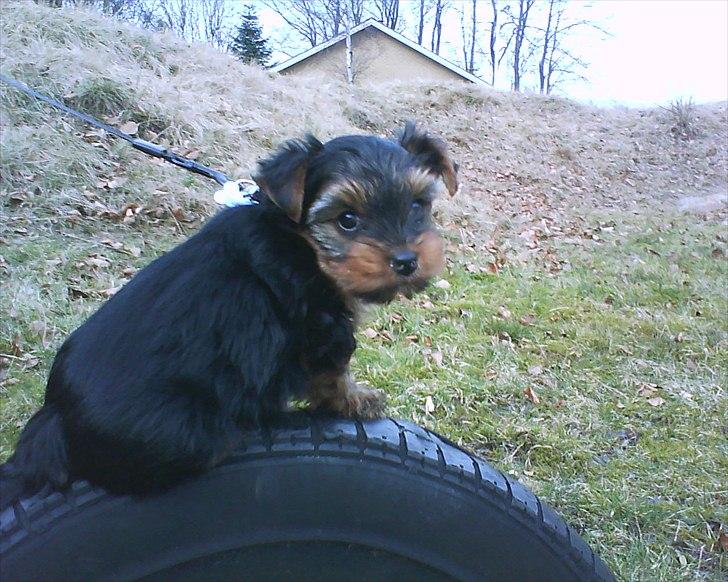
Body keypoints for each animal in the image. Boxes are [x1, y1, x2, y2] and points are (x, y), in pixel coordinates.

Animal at [0, 122, 456, 502]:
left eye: (417, 205)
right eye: (347, 219)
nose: (406, 260)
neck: (300, 244)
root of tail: (55, 416)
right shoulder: (321, 327)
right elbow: (332, 373)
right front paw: (357, 400)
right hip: (184, 427)